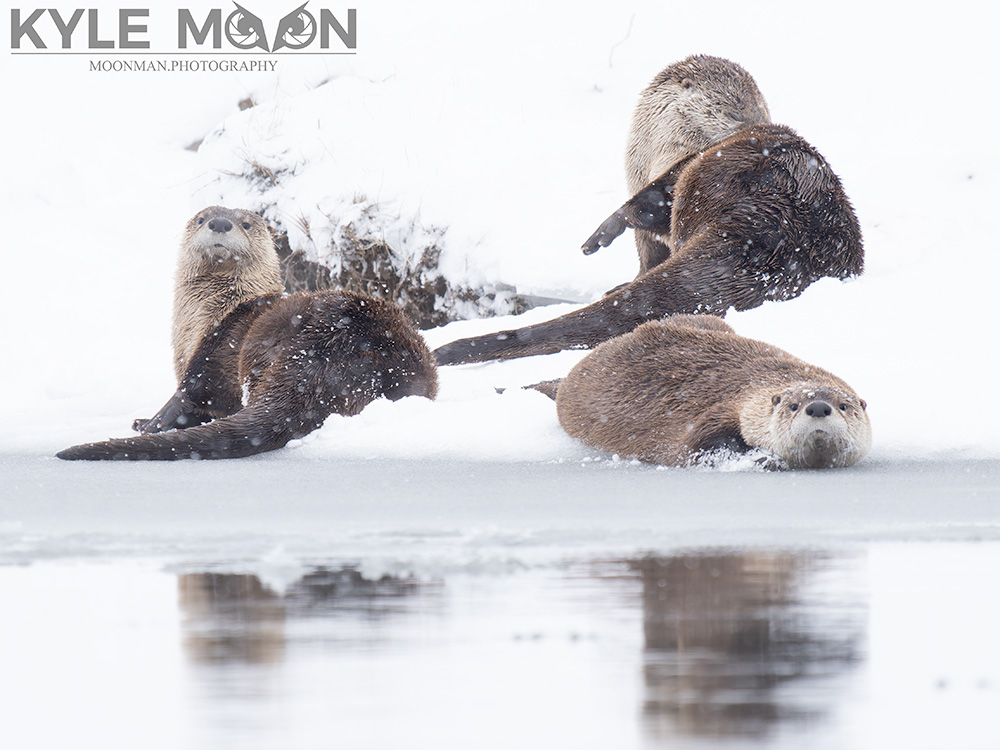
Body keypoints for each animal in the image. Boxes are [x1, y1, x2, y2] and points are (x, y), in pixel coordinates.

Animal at [57, 207, 437, 461]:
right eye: (202, 219)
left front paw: (145, 423)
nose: (220, 223)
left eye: (245, 223)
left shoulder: (201, 360)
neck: (203, 320)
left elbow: (181, 400)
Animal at [433, 56, 862, 365]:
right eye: (725, 105)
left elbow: (646, 209)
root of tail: (768, 245)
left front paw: (601, 236)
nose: (750, 121)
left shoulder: (678, 169)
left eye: (757, 104)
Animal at [552, 315, 871, 469]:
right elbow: (696, 447)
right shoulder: (727, 408)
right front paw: (763, 459)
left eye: (844, 405)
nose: (817, 407)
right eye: (793, 405)